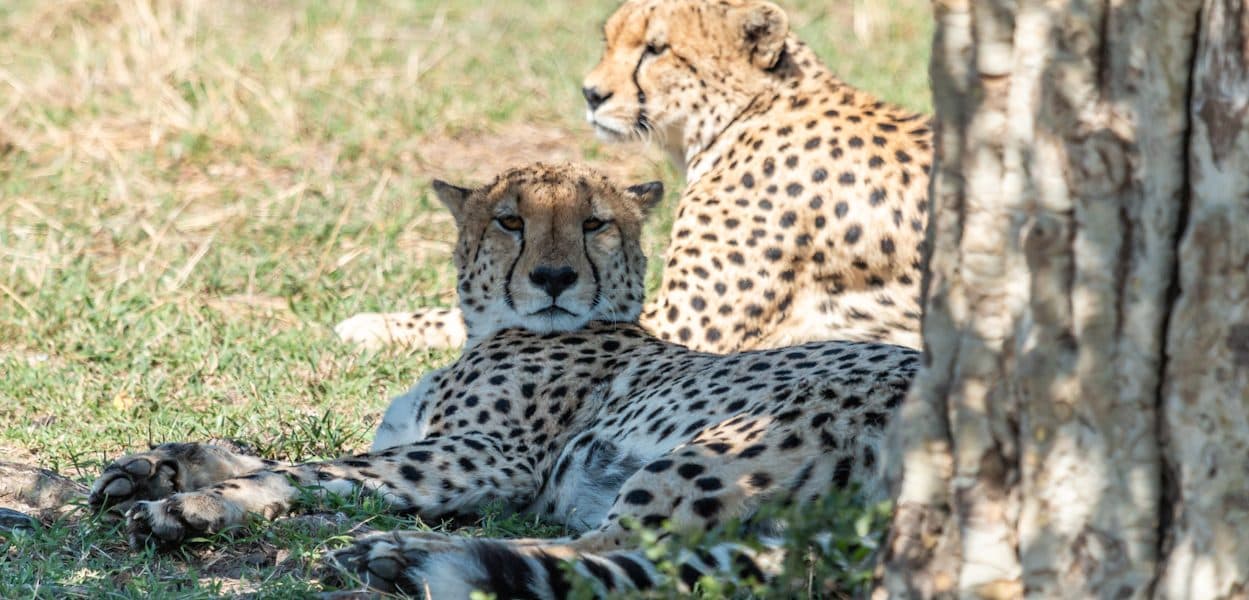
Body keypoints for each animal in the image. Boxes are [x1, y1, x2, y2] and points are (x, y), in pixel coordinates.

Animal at [87, 163, 919, 597]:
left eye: (595, 224)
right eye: (510, 220)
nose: (553, 278)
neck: (487, 328)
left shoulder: (492, 457)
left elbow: (302, 468)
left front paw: (191, 505)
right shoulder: (435, 448)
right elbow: (282, 456)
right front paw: (156, 465)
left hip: (709, 452)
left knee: (615, 554)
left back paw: (397, 553)